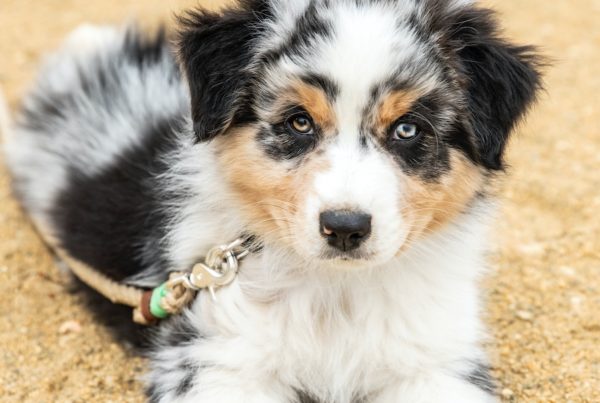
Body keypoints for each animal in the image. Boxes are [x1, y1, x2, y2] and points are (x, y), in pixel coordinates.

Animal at [2, 0, 540, 403]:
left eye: (408, 129)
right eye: (298, 122)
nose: (345, 227)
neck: (335, 294)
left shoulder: (434, 360)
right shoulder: (217, 358)